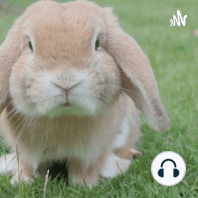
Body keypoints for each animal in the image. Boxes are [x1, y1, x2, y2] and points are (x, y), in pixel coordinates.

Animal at [0, 0, 170, 186]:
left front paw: (85, 185)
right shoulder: (25, 151)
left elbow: (83, 168)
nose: (66, 82)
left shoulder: (90, 152)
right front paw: (21, 182)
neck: (64, 117)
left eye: (97, 43)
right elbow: (27, 165)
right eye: (30, 45)